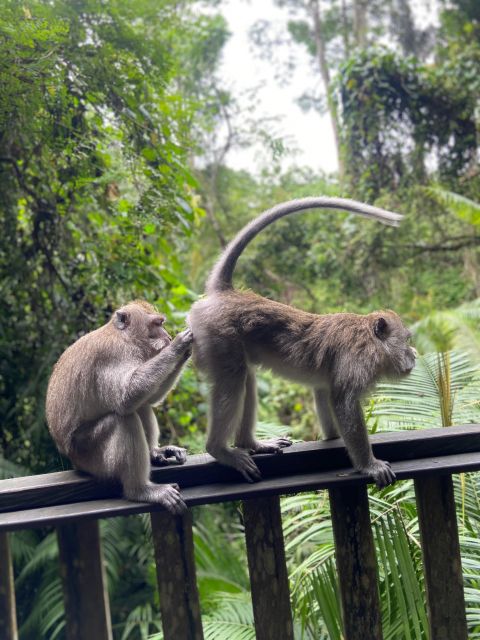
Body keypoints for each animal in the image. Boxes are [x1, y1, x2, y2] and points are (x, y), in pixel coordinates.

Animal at [46, 300, 193, 516]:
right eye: (156, 324)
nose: (167, 336)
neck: (126, 338)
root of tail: (72, 459)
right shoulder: (113, 355)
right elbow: (127, 396)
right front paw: (178, 346)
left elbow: (149, 398)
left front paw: (186, 352)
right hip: (89, 455)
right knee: (124, 418)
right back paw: (140, 490)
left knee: (141, 406)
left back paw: (154, 452)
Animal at [188, 198, 416, 488]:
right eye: (406, 340)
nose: (414, 354)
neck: (370, 341)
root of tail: (226, 294)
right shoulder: (358, 361)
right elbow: (344, 403)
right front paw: (369, 465)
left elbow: (325, 394)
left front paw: (332, 437)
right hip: (217, 336)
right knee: (233, 378)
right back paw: (220, 449)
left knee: (245, 378)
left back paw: (249, 443)